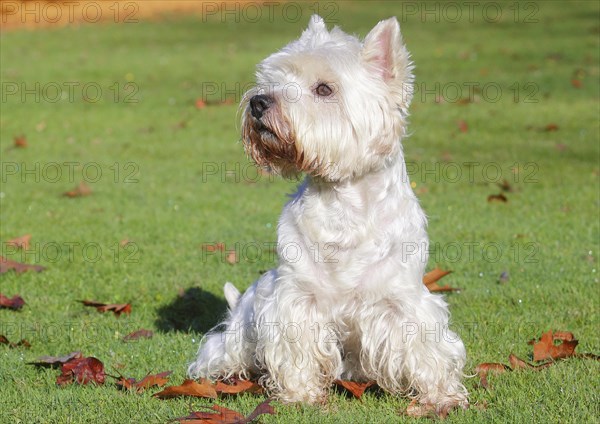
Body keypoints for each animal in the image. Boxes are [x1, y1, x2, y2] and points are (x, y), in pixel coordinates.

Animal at [190, 14, 472, 412]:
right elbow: (296, 349)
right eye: (273, 78)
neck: (344, 201)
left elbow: (426, 347)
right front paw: (300, 394)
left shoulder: (404, 300)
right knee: (221, 351)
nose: (258, 102)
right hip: (243, 323)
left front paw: (441, 396)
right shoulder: (296, 298)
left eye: (324, 89)